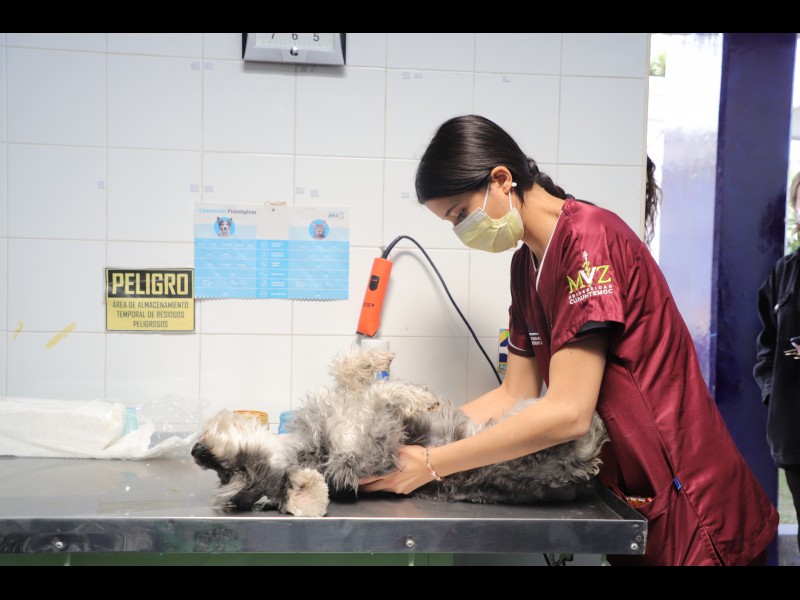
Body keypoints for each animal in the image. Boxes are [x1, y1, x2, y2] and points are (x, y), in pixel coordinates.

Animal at [192, 346, 609, 517]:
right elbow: (383, 400)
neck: (312, 445)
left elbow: (349, 371)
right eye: (235, 475)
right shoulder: (377, 443)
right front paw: (417, 398)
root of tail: (581, 470)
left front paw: (378, 359)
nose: (198, 453)